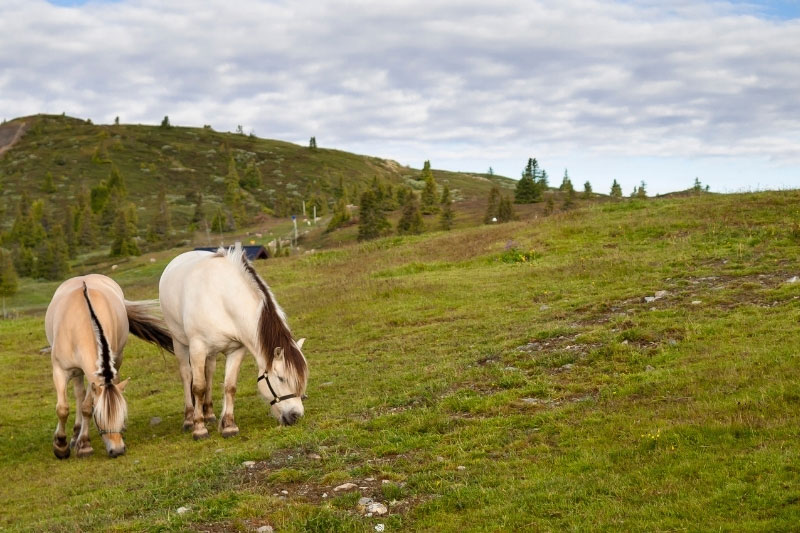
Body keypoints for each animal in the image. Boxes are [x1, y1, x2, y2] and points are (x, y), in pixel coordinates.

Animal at [45, 274, 174, 459]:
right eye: (99, 417)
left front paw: (84, 445)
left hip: (116, 359)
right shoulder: (60, 371)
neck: (83, 323)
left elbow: (86, 407)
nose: (118, 450)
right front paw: (61, 446)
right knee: (78, 393)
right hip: (77, 372)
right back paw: (74, 435)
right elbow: (62, 408)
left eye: (121, 415)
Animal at [158, 244, 308, 440]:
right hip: (179, 342)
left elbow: (230, 387)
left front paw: (229, 426)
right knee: (186, 375)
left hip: (211, 352)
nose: (296, 415)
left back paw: (209, 413)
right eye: (281, 378)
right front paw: (199, 428)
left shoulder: (236, 350)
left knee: (209, 373)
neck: (223, 300)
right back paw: (190, 419)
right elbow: (198, 387)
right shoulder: (198, 347)